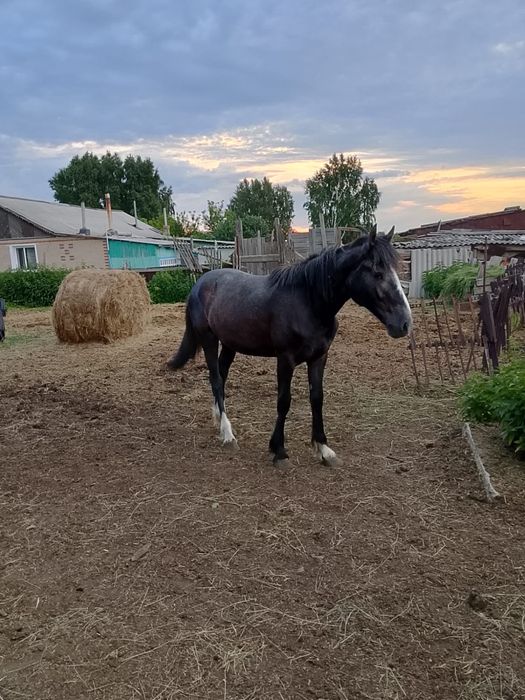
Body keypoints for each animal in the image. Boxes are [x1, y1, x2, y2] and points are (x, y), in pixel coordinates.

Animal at [166, 225, 412, 467]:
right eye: (378, 273)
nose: (405, 323)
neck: (309, 301)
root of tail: (200, 283)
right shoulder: (286, 359)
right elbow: (284, 401)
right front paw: (279, 450)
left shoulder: (319, 357)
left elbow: (317, 398)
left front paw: (323, 448)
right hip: (209, 339)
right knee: (216, 379)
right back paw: (228, 434)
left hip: (229, 344)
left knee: (221, 376)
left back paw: (219, 419)